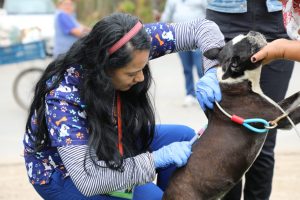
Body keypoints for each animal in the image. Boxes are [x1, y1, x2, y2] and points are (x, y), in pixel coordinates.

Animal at [164, 31, 300, 200]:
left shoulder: (282, 110)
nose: (253, 32)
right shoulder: (281, 118)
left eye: (246, 35)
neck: (236, 80)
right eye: (251, 45)